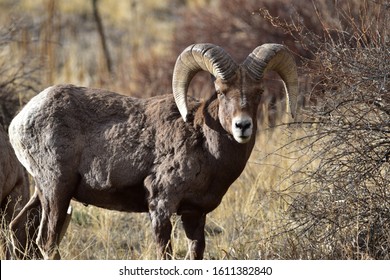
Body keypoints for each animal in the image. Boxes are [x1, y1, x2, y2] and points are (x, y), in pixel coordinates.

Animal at [8, 42, 298, 260]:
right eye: (220, 91)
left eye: (258, 92)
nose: (242, 126)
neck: (206, 147)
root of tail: (19, 121)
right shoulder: (161, 206)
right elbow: (165, 253)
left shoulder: (194, 215)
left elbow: (196, 253)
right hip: (57, 190)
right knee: (46, 241)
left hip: (44, 192)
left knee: (18, 229)